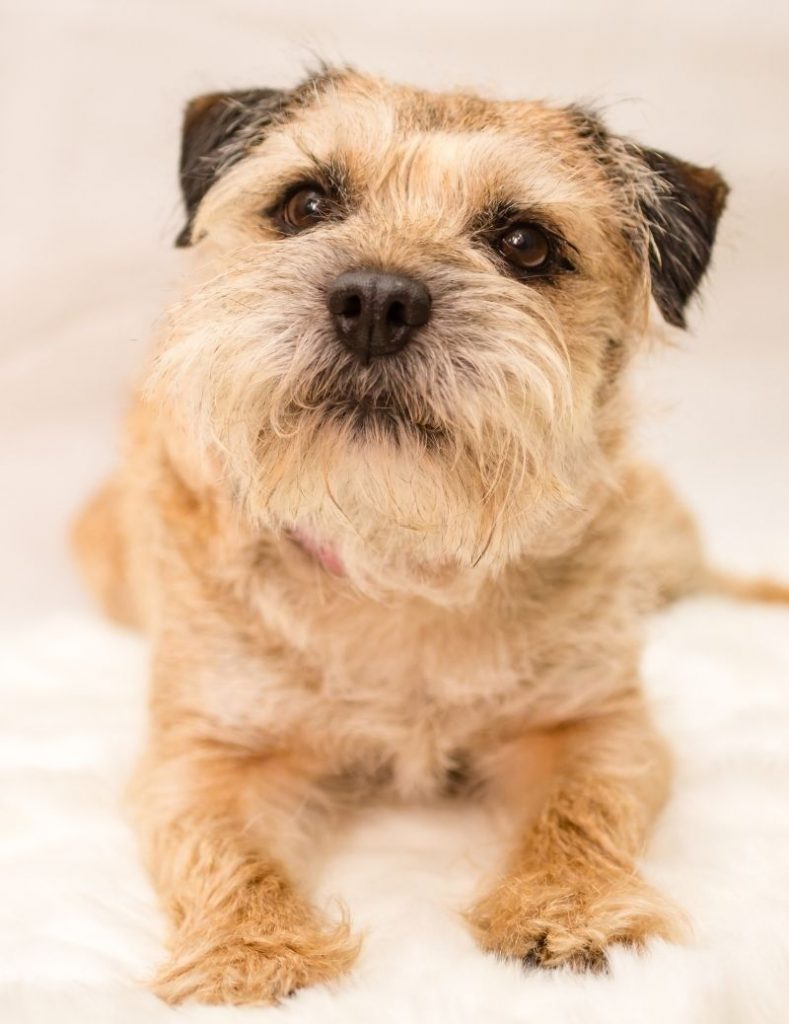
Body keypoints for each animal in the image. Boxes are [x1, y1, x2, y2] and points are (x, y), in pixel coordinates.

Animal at [72, 66, 781, 1007]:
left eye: (524, 243)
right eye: (305, 204)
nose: (376, 299)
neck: (399, 562)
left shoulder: (594, 723)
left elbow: (578, 809)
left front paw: (574, 909)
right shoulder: (204, 753)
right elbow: (224, 848)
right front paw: (253, 953)